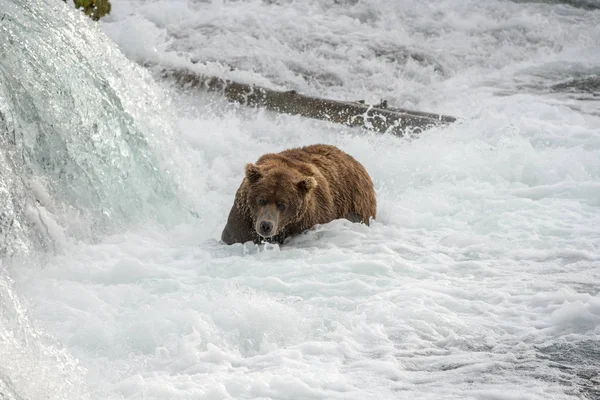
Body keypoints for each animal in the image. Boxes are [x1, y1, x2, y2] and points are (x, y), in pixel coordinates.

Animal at [220, 142, 376, 245]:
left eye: (282, 204)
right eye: (261, 200)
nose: (266, 226)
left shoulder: (308, 221)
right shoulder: (244, 218)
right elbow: (235, 236)